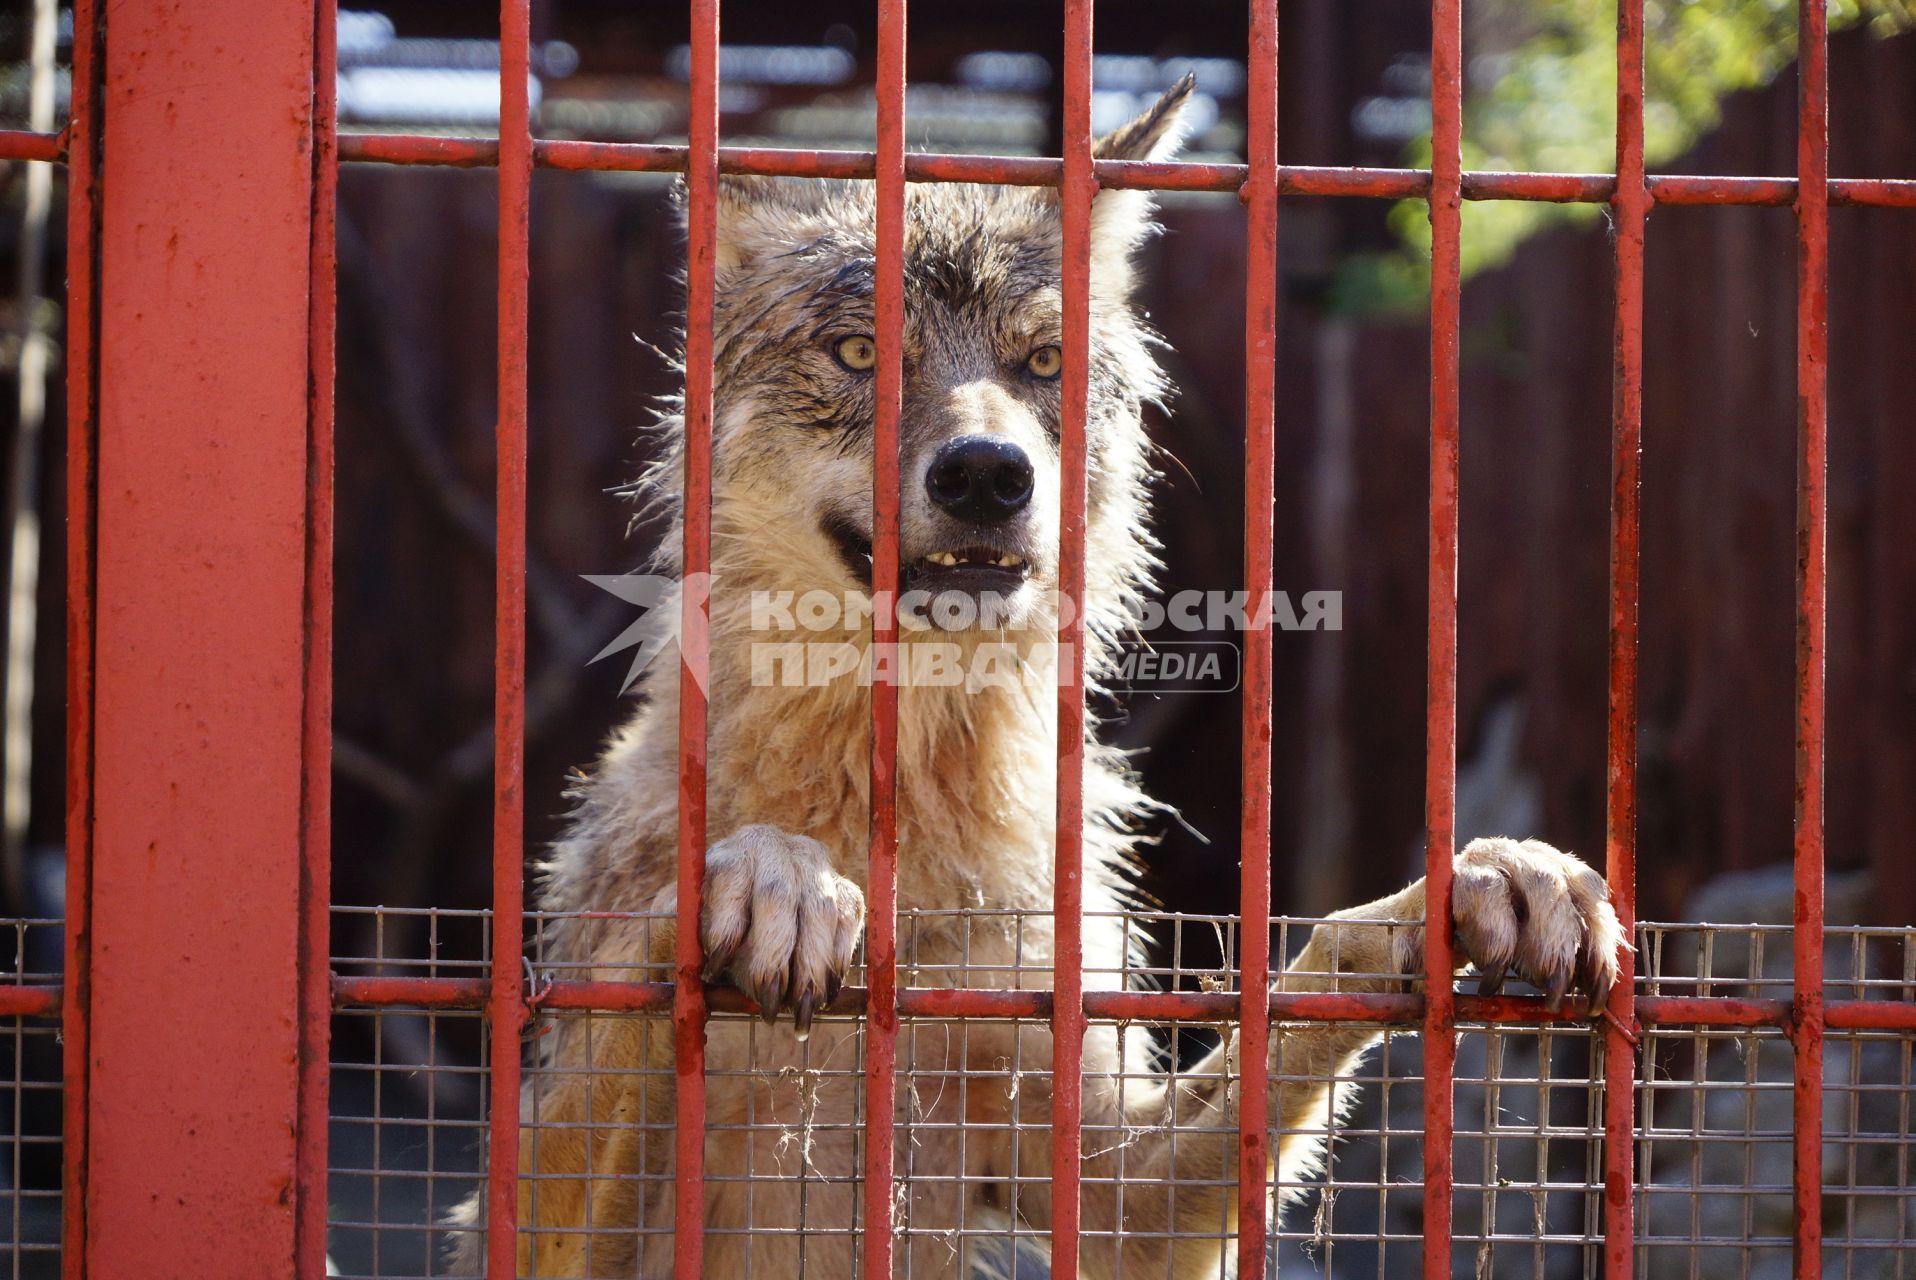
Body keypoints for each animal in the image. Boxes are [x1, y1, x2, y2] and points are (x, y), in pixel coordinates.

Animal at [444, 77, 1617, 1272]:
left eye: (1042, 364)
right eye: (860, 353)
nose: (983, 474)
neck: (895, 808)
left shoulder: (1110, 1187)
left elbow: (1306, 974)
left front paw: (1479, 880)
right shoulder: (514, 1222)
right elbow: (636, 986)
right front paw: (767, 876)